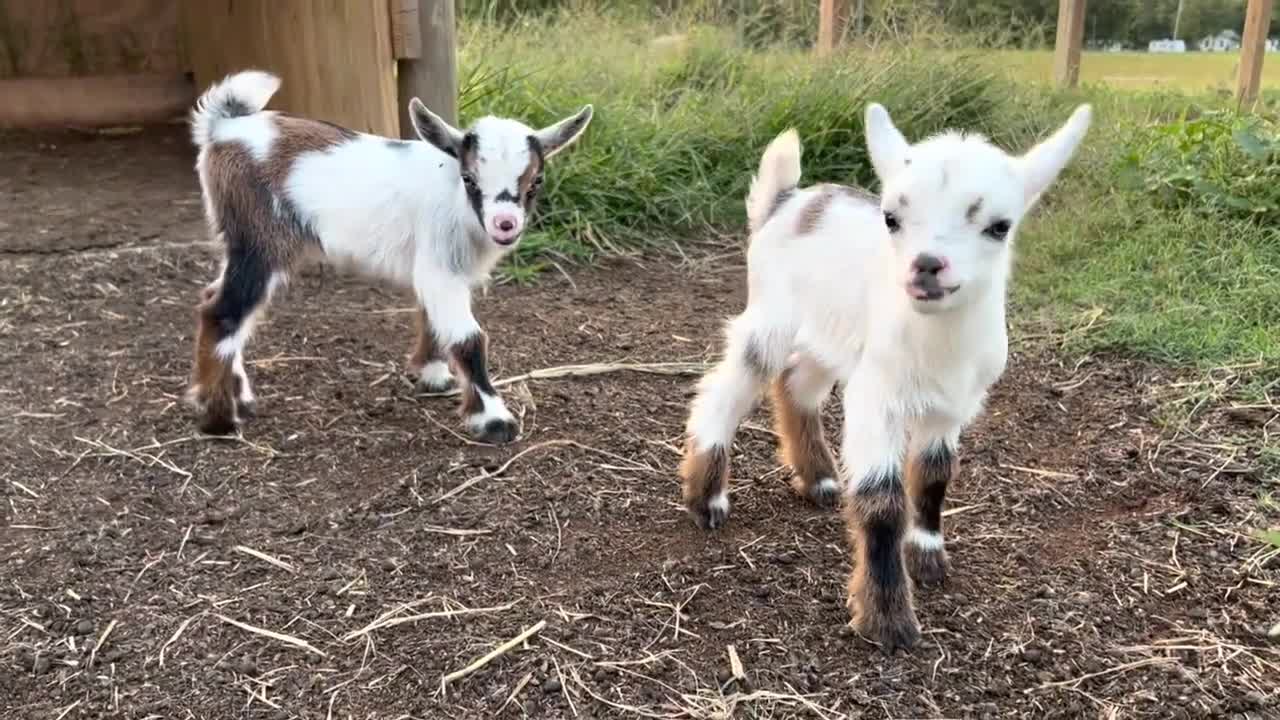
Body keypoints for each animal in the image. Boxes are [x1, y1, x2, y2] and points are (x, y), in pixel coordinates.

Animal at [186, 70, 593, 438]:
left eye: (536, 181)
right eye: (470, 179)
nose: (505, 224)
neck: (454, 198)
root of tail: (224, 128)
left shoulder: (438, 266)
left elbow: (432, 318)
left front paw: (432, 375)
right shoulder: (441, 266)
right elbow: (468, 339)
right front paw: (494, 420)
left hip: (239, 239)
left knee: (214, 298)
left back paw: (238, 397)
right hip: (260, 239)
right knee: (224, 312)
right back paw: (219, 419)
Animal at [680, 99, 1090, 650]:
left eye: (1000, 226)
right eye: (892, 218)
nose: (927, 265)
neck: (938, 342)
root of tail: (789, 200)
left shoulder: (949, 406)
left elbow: (935, 476)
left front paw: (929, 556)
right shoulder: (878, 399)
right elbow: (881, 502)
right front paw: (888, 620)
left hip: (833, 334)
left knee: (796, 383)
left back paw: (819, 480)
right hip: (771, 315)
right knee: (728, 385)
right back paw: (707, 499)